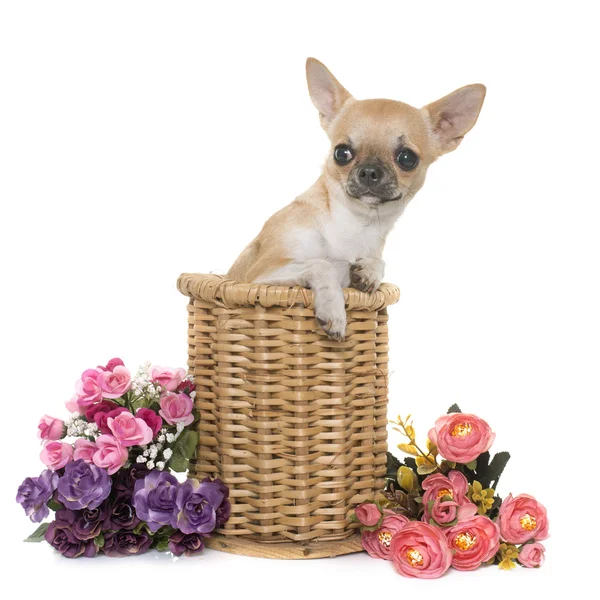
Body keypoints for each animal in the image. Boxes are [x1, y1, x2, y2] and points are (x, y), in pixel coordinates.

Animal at [227, 58, 486, 340]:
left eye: (407, 158)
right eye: (341, 153)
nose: (370, 171)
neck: (354, 223)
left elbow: (375, 262)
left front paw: (370, 271)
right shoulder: (257, 276)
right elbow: (322, 264)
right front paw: (333, 311)